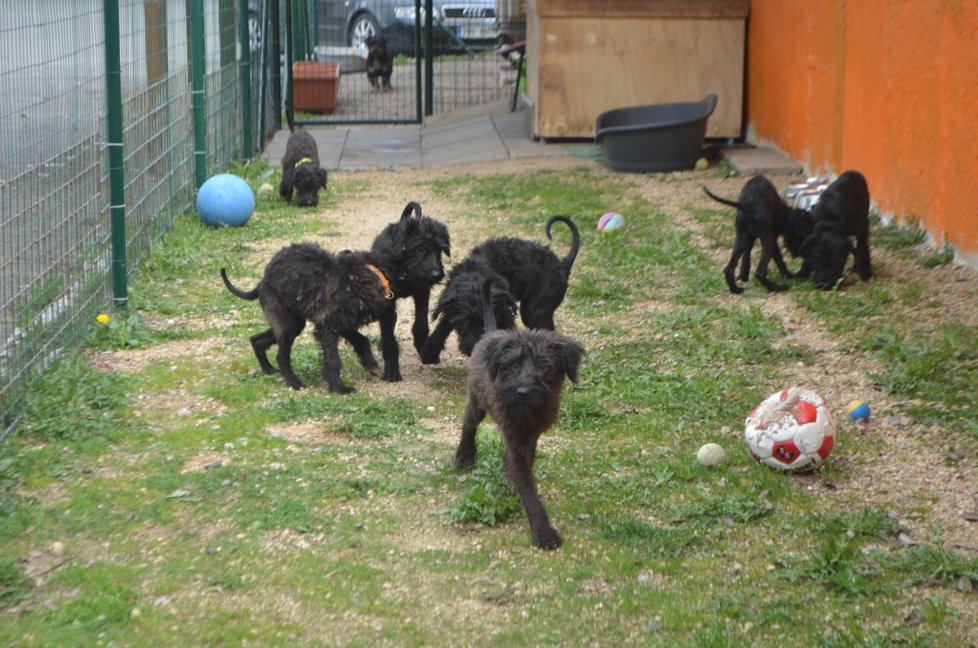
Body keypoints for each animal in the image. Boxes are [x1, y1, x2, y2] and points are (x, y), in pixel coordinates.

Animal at [221, 244, 388, 392]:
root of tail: (263, 280)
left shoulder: (341, 324)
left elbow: (362, 340)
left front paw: (371, 365)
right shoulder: (328, 326)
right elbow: (333, 360)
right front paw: (338, 388)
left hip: (293, 323)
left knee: (256, 340)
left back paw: (268, 369)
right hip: (287, 325)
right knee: (281, 357)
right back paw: (293, 381)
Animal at [456, 278, 584, 548]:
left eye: (544, 367)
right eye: (513, 364)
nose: (523, 392)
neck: (530, 411)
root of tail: (490, 333)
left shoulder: (533, 434)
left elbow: (528, 463)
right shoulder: (514, 438)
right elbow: (528, 488)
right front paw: (544, 532)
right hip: (476, 402)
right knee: (468, 424)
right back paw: (463, 456)